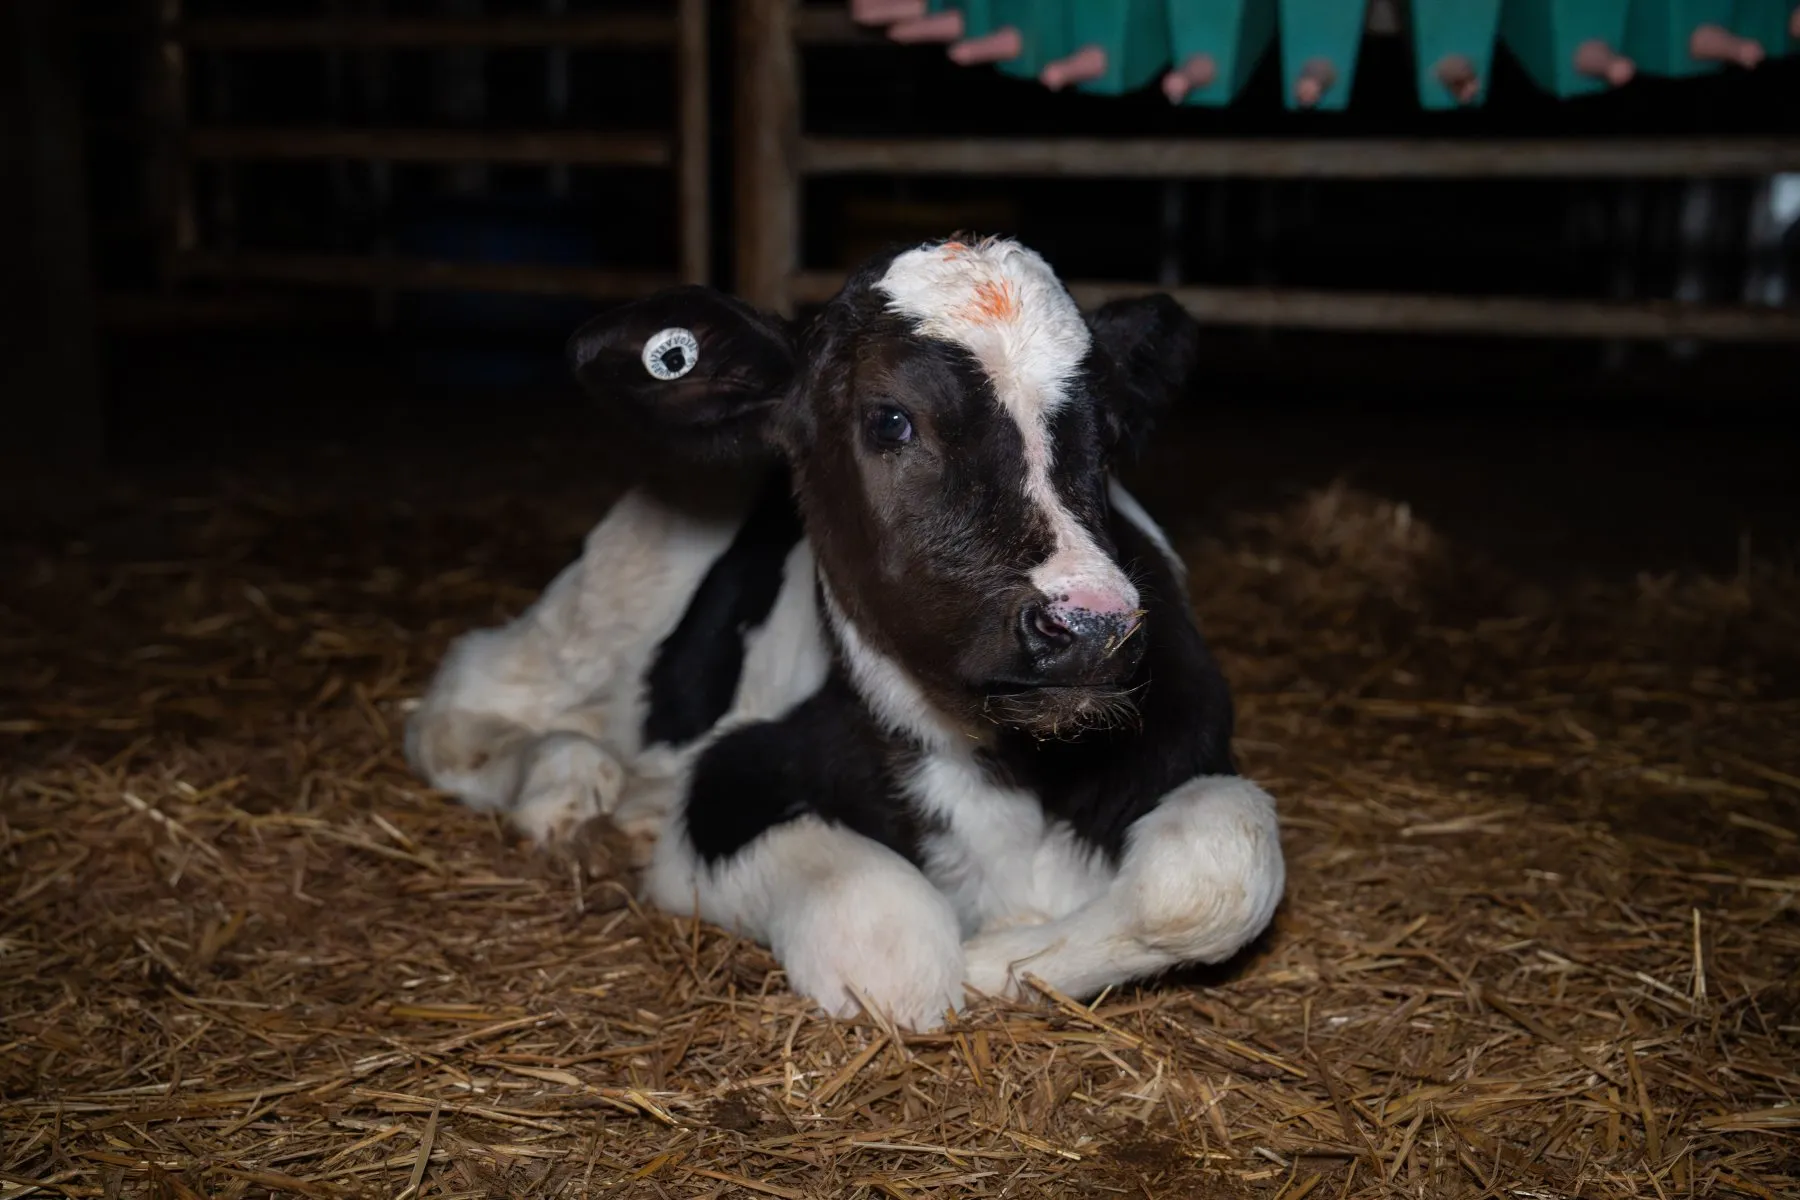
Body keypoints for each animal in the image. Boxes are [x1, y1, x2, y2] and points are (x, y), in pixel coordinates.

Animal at [405, 236, 1286, 1033]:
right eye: (891, 421)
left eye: (1108, 430)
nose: (1092, 624)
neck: (1001, 774)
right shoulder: (734, 783)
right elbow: (894, 947)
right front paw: (983, 960)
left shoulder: (1187, 736)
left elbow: (1216, 868)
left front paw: (1009, 960)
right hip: (601, 600)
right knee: (464, 699)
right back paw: (561, 782)